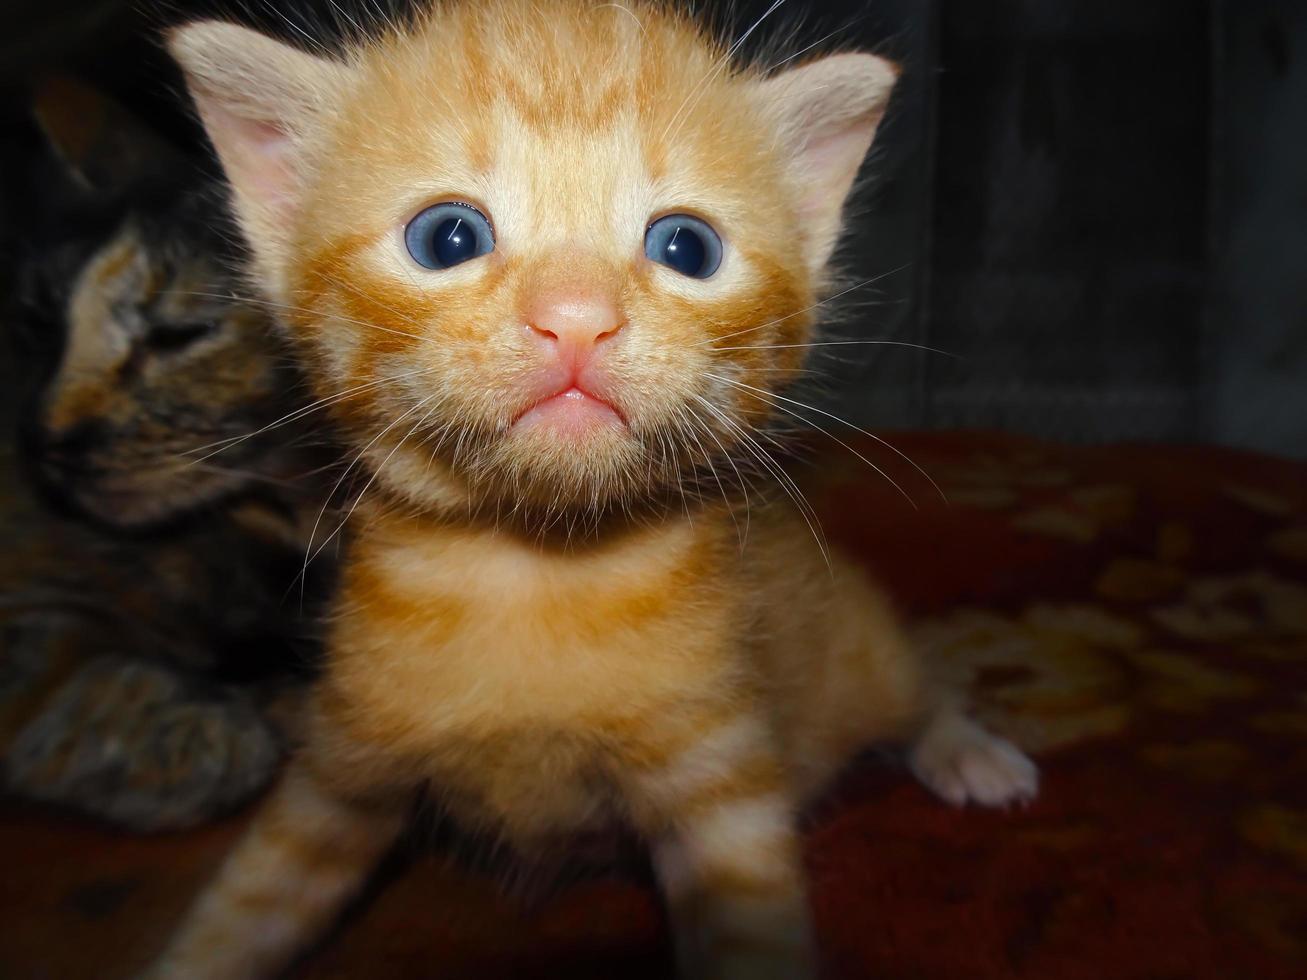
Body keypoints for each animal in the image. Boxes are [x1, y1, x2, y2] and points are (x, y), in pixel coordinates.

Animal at [160, 3, 1040, 977]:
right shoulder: (343, 765)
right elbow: (245, 910)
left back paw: (967, 750)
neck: (533, 570)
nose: (577, 318)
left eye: (686, 247)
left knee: (916, 687)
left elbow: (750, 926)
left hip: (859, 649)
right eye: (447, 238)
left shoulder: (718, 778)